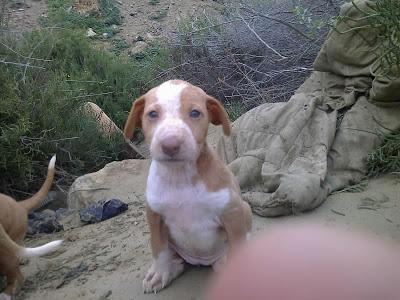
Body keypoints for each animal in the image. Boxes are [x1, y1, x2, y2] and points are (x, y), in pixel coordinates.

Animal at [123, 79, 252, 292]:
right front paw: (160, 272)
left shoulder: (232, 212)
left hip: (245, 208)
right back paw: (170, 268)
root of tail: (202, 261)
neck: (179, 176)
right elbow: (159, 249)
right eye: (152, 114)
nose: (170, 144)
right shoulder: (154, 216)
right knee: (174, 257)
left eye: (195, 113)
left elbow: (238, 244)